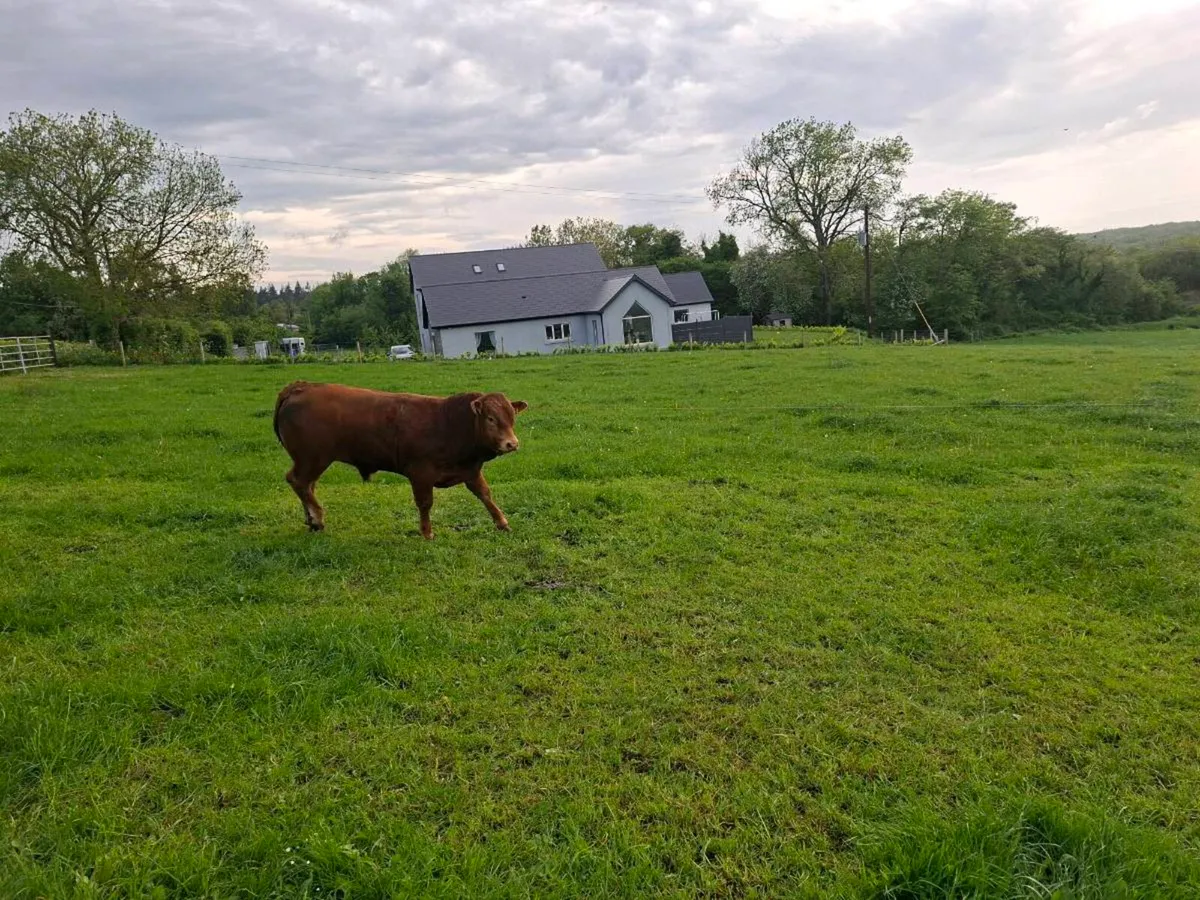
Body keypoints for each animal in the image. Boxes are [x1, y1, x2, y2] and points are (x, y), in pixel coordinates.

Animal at [273, 380, 528, 539]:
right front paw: (427, 532)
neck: (449, 423)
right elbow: (425, 503)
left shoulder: (470, 470)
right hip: (312, 458)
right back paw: (316, 517)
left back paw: (311, 520)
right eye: (491, 418)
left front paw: (502, 522)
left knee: (307, 486)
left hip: (312, 462)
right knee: (298, 481)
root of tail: (299, 387)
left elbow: (485, 495)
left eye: (511, 417)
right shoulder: (421, 473)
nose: (512, 443)